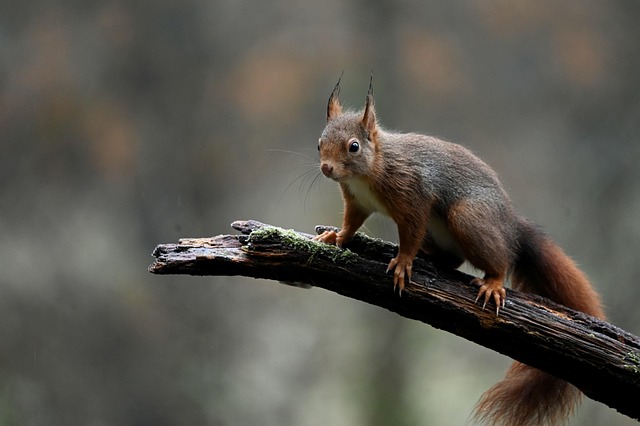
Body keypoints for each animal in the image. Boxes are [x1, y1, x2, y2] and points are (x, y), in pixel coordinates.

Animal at [314, 76, 606, 426]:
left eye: (354, 146)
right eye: (319, 142)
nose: (326, 168)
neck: (369, 171)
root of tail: (511, 225)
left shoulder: (413, 196)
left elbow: (410, 232)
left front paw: (404, 262)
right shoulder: (357, 201)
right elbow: (351, 223)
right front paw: (336, 236)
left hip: (468, 218)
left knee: (500, 259)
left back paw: (492, 282)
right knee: (453, 259)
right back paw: (431, 258)